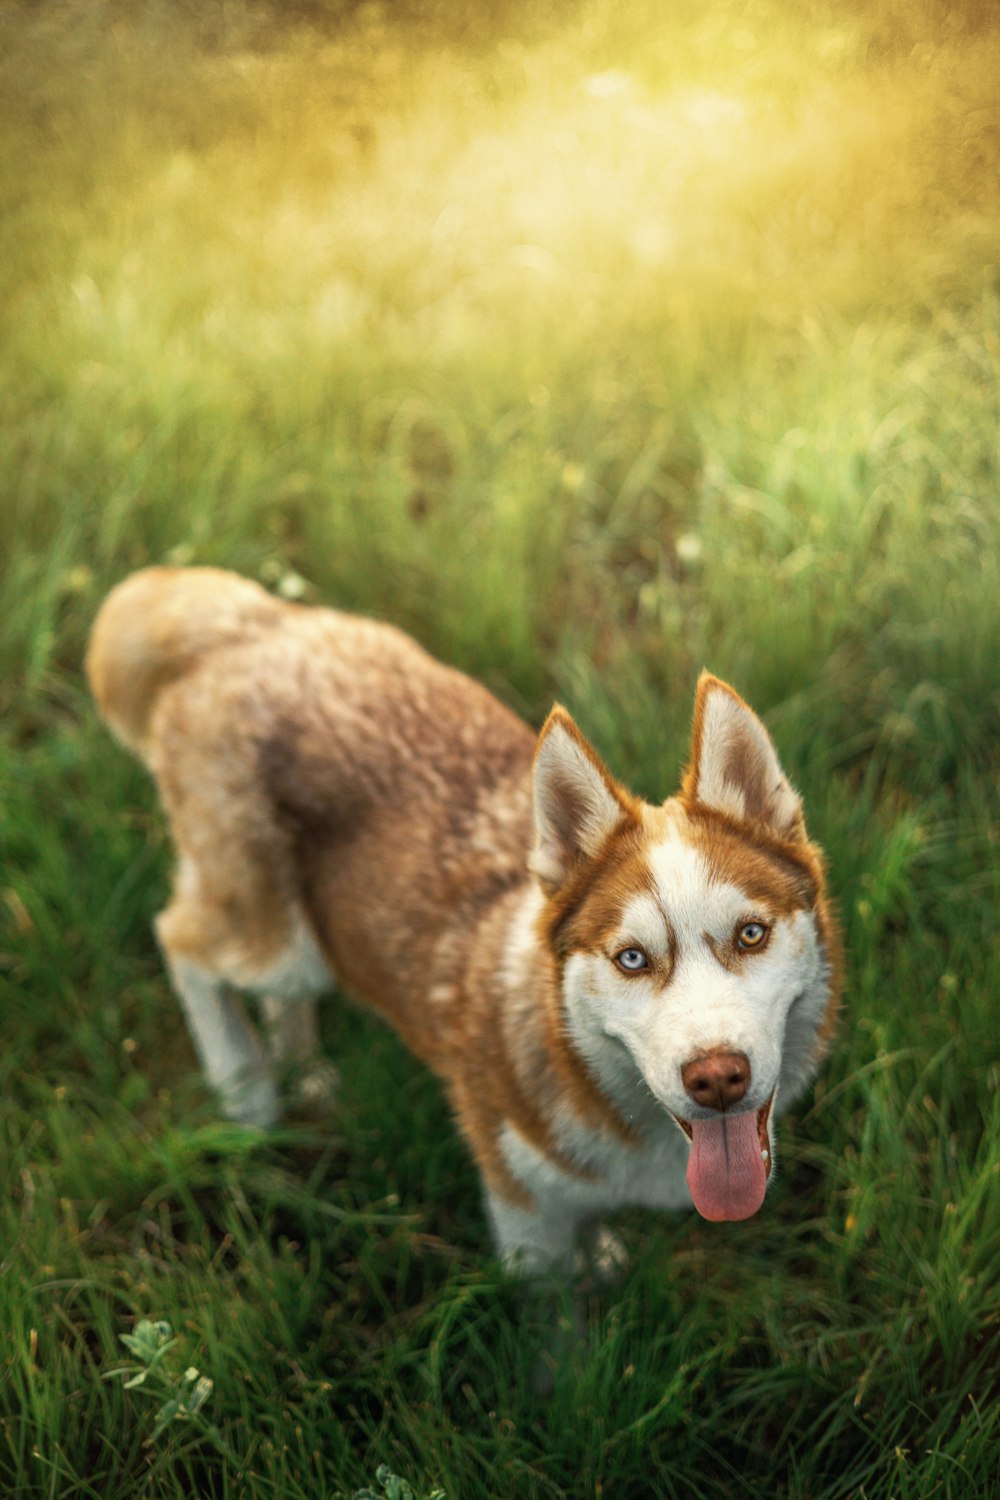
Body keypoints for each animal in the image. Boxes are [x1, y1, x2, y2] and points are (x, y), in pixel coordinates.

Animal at [86, 567, 839, 1272]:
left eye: (750, 934)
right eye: (632, 958)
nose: (717, 1077)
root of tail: (252, 624)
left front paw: (602, 1257)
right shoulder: (522, 1208)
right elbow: (556, 1315)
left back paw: (303, 1071)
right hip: (277, 941)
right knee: (179, 941)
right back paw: (247, 1089)